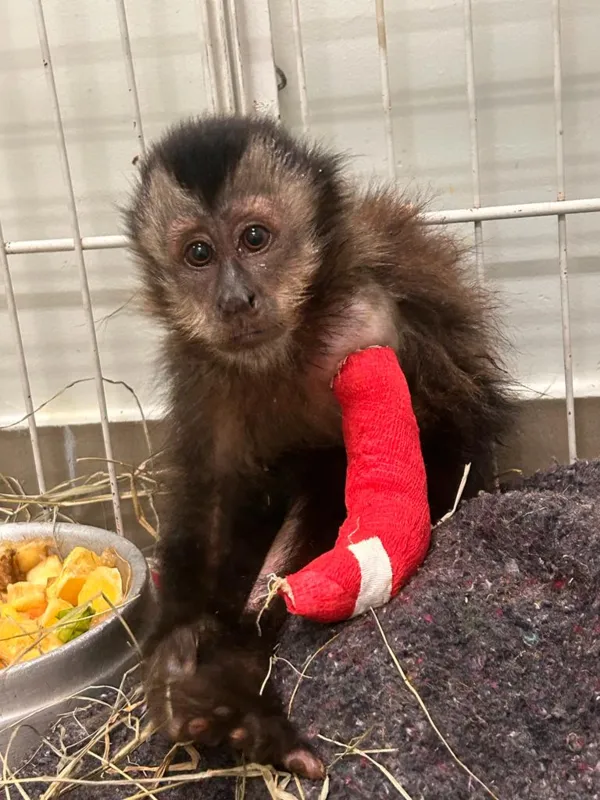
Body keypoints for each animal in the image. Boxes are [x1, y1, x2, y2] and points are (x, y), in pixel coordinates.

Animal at [125, 114, 514, 779]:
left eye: (255, 238)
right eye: (198, 253)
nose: (234, 299)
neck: (288, 345)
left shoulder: (375, 318)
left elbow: (423, 458)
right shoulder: (200, 373)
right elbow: (213, 497)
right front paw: (186, 657)